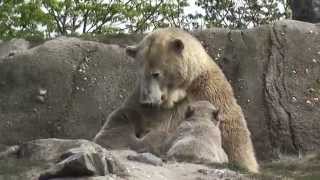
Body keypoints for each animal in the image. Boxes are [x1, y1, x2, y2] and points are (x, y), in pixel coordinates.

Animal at [94, 27, 258, 172]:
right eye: (141, 73)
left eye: (156, 73)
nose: (147, 101)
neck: (178, 92)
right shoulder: (141, 103)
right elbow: (117, 126)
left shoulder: (208, 91)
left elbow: (231, 136)